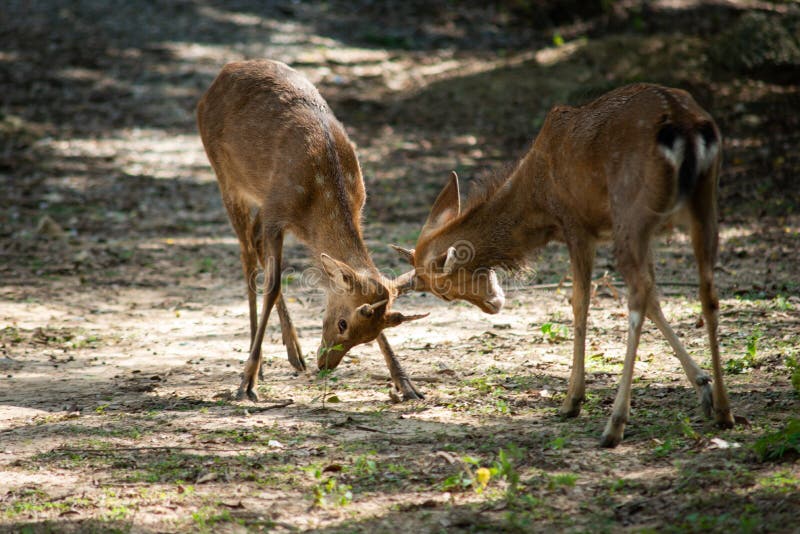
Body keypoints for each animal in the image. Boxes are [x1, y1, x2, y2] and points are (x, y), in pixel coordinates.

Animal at [198, 59, 428, 402]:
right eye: (343, 323)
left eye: (370, 335)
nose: (326, 365)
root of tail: (221, 74)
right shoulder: (277, 211)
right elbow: (273, 284)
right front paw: (246, 382)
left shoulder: (280, 209)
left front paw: (406, 383)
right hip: (226, 176)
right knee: (246, 253)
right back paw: (261, 364)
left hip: (259, 197)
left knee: (254, 242)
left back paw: (293, 354)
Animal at [394, 82, 736, 448]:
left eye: (443, 291)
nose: (492, 305)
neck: (539, 202)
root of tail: (685, 126)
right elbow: (657, 301)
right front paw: (702, 386)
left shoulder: (576, 224)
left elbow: (580, 303)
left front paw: (572, 400)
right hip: (704, 202)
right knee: (705, 291)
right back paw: (724, 411)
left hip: (631, 209)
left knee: (637, 295)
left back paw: (614, 424)